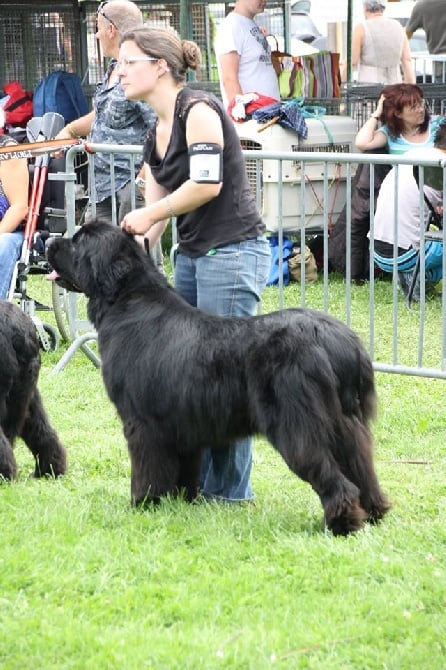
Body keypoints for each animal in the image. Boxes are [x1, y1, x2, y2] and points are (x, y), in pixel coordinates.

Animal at [47, 223, 390, 540]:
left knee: (332, 475)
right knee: (361, 466)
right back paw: (373, 512)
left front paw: (143, 502)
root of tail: (339, 340)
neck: (125, 301)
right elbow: (183, 470)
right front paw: (181, 502)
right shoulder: (182, 424)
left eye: (77, 242)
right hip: (346, 424)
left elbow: (147, 467)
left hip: (296, 424)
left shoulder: (141, 422)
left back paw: (341, 524)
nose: (47, 240)